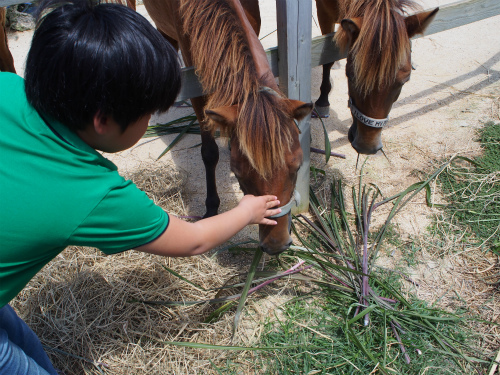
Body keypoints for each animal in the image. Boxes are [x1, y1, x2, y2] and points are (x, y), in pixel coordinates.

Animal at [142, 0, 312, 256]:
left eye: (297, 167)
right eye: (238, 173)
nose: (276, 244)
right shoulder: (198, 86)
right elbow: (209, 153)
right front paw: (212, 207)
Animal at [316, 0, 438, 154]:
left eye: (404, 81)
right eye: (350, 76)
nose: (367, 146)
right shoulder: (323, 13)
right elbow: (327, 60)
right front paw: (323, 100)